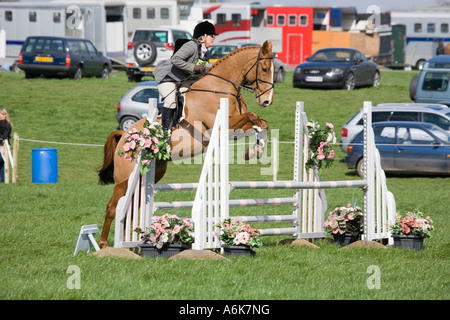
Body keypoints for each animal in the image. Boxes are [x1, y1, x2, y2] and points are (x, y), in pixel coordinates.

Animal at [97, 41, 276, 249]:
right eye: (264, 69)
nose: (266, 101)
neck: (220, 87)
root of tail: (125, 134)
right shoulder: (222, 125)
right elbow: (253, 116)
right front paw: (254, 150)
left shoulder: (234, 130)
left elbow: (260, 122)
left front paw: (256, 150)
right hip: (125, 177)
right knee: (113, 206)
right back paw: (104, 245)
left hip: (151, 173)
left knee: (131, 206)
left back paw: (132, 243)